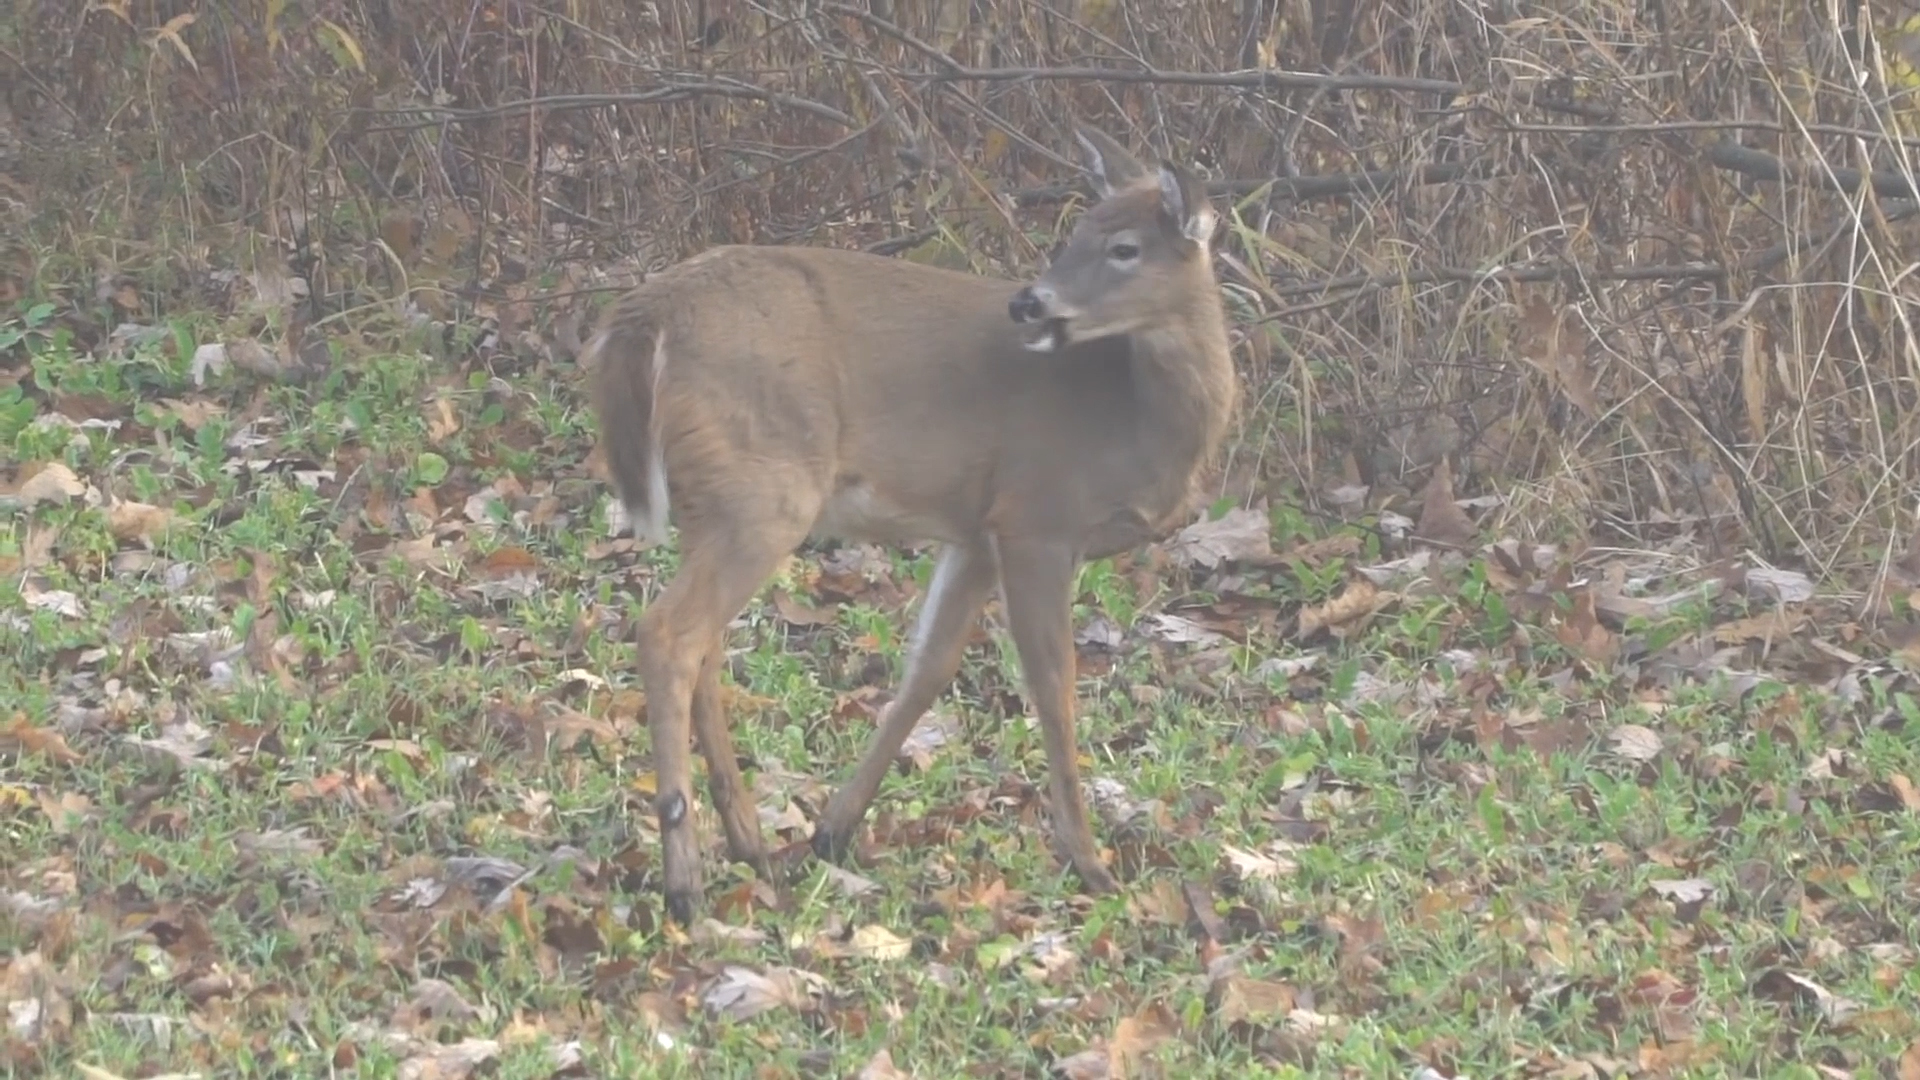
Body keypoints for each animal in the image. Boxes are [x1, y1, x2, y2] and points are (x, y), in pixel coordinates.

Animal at [583, 125, 1236, 914]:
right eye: (1078, 232)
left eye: (1124, 248)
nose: (1029, 304)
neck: (1134, 421)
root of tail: (644, 315)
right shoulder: (1038, 517)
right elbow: (1055, 686)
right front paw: (1092, 863)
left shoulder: (977, 531)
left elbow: (927, 669)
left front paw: (833, 828)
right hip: (765, 487)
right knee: (669, 634)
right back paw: (685, 880)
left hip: (716, 499)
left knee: (703, 645)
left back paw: (748, 843)